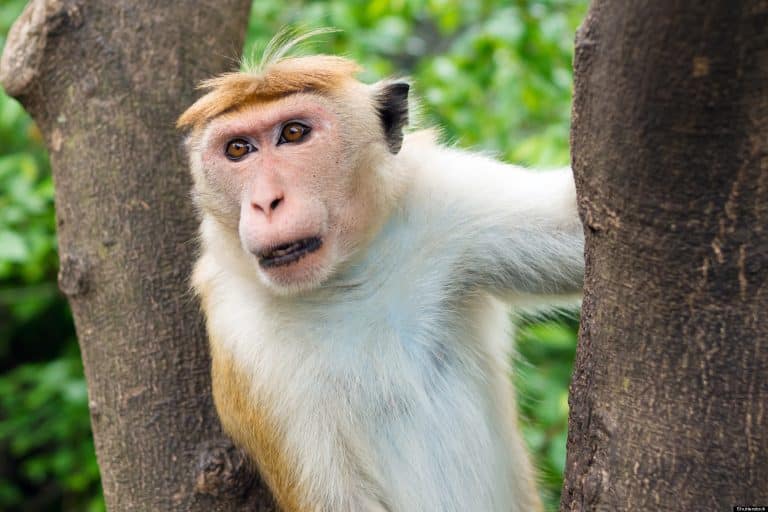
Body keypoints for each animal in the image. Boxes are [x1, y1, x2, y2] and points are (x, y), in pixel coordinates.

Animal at [177, 36, 584, 512]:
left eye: (293, 133)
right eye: (238, 149)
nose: (265, 202)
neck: (345, 277)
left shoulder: (447, 200)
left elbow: (576, 228)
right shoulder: (246, 341)